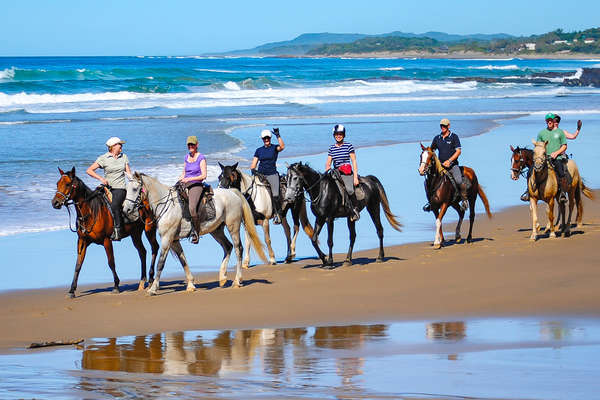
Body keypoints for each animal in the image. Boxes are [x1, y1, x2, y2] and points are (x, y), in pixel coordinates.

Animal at [51, 167, 158, 298]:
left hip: (149, 229)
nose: (55, 203)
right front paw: (72, 290)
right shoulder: (82, 241)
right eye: (57, 184)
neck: (91, 212)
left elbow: (111, 262)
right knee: (142, 252)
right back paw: (142, 281)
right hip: (135, 233)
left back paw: (151, 278)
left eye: (67, 184)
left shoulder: (107, 240)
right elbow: (78, 265)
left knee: (154, 248)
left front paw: (116, 286)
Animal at [122, 172, 268, 294]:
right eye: (127, 189)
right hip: (216, 230)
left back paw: (237, 280)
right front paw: (191, 285)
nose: (125, 209)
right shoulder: (174, 240)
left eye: (134, 189)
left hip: (233, 226)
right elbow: (183, 260)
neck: (166, 206)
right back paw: (222, 278)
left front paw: (153, 289)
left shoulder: (167, 239)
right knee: (228, 247)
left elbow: (160, 263)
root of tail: (232, 192)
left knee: (238, 249)